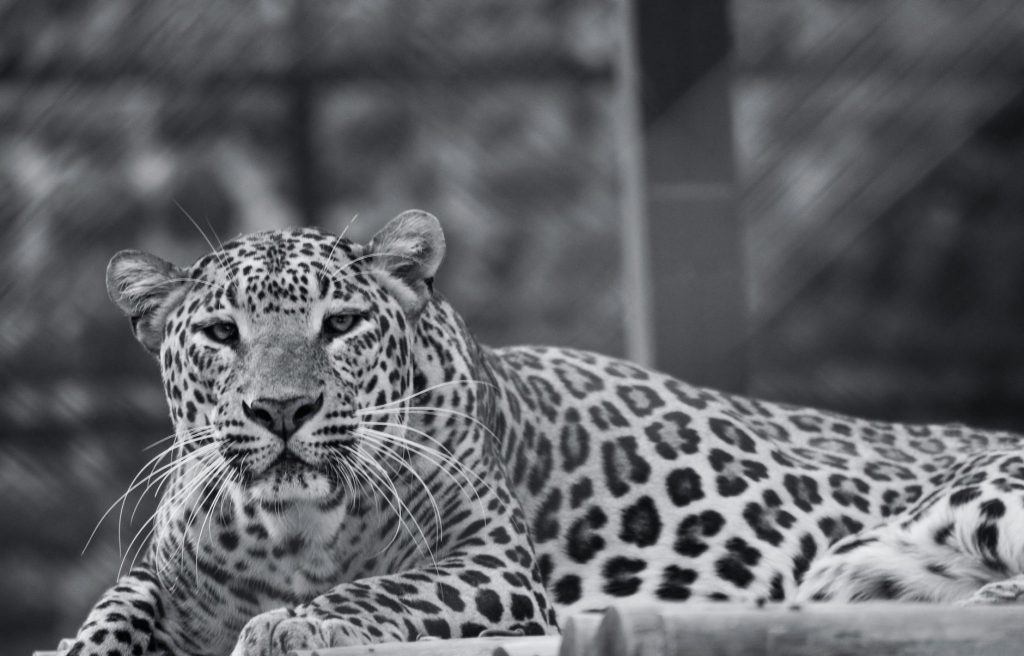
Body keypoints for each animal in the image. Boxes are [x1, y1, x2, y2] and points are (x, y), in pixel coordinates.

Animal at [65, 210, 1024, 656]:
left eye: (339, 324)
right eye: (220, 333)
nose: (281, 412)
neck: (297, 530)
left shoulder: (493, 567)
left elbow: (381, 590)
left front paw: (293, 624)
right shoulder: (161, 572)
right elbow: (116, 609)